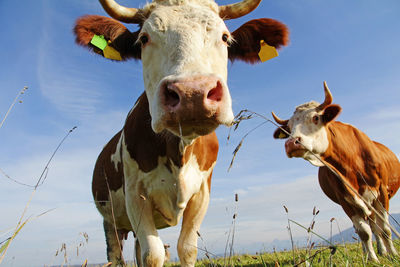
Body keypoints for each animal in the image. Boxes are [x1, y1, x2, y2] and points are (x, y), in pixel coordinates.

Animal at [73, 0, 290, 266]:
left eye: (225, 37)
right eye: (144, 38)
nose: (192, 93)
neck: (178, 149)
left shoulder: (202, 193)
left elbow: (186, 248)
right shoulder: (135, 193)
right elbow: (153, 254)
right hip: (110, 220)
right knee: (116, 255)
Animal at [272, 81, 400, 262]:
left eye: (316, 117)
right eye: (288, 128)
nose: (291, 143)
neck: (352, 163)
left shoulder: (381, 192)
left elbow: (386, 228)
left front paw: (393, 254)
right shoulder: (345, 199)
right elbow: (364, 232)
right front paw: (372, 259)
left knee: (376, 226)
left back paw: (383, 251)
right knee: (367, 227)